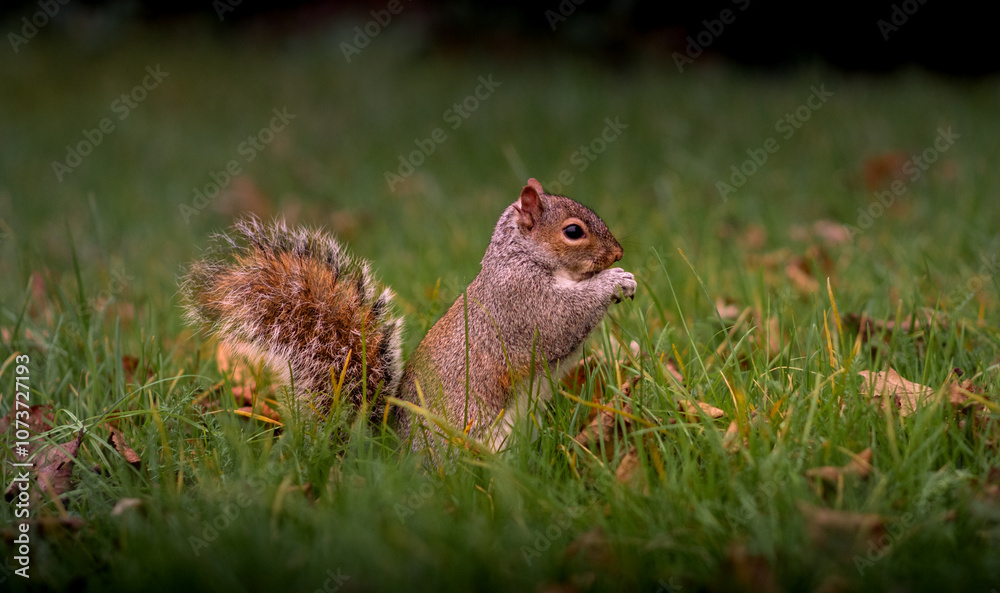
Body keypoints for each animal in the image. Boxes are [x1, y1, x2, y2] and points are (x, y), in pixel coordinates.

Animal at [181, 178, 635, 453]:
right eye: (573, 231)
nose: (618, 253)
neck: (522, 258)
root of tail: (389, 453)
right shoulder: (521, 302)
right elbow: (561, 319)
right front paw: (614, 281)